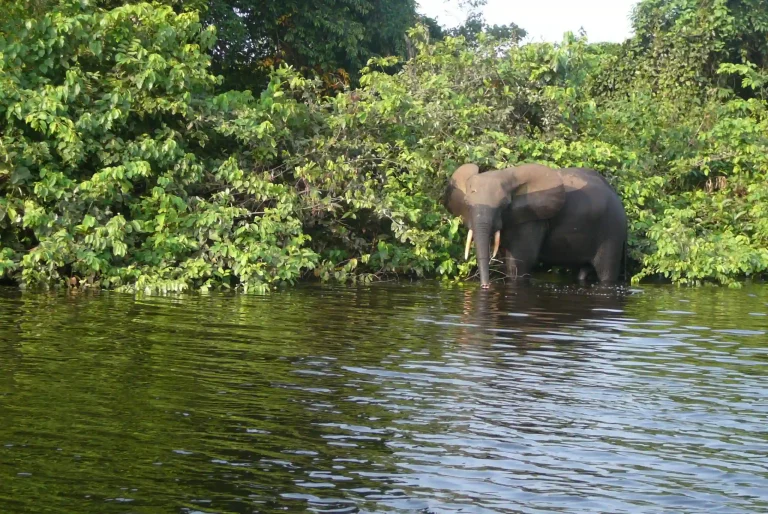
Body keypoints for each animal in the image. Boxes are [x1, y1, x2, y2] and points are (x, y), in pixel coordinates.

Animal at [443, 162, 627, 289]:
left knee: (606, 272)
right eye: (467, 203)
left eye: (504, 205)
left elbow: (519, 262)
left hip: (613, 232)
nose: (485, 286)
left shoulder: (532, 218)